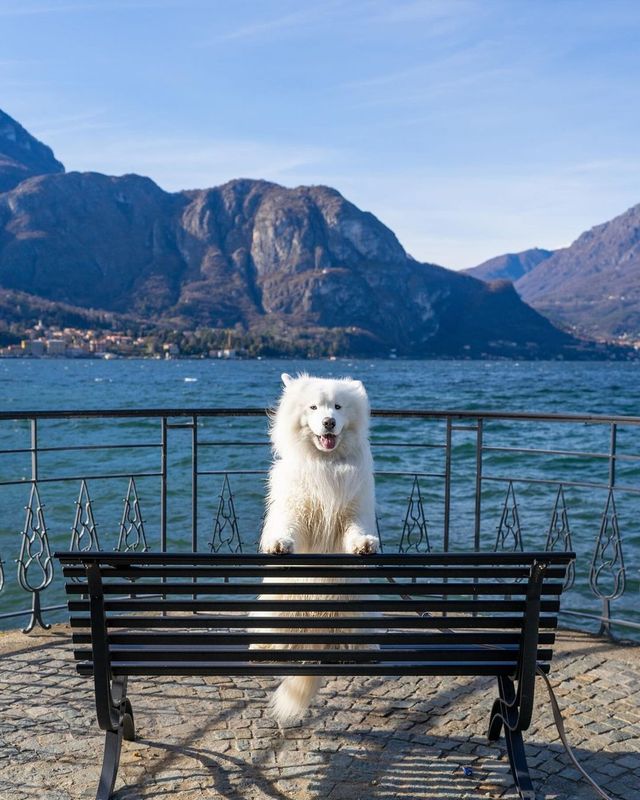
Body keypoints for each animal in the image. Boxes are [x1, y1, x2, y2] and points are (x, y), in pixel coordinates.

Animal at [256, 376, 380, 724]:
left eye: (338, 407)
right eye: (313, 407)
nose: (328, 422)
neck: (325, 463)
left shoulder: (352, 513)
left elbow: (355, 532)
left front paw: (364, 545)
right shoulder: (297, 511)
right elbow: (289, 529)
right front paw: (279, 545)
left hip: (357, 605)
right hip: (277, 605)